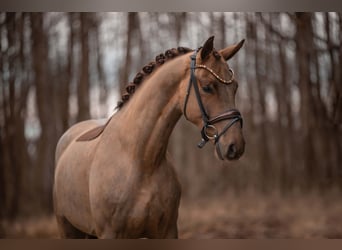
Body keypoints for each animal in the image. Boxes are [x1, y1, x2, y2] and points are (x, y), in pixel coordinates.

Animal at [52, 36, 246, 238]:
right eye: (207, 87)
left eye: (235, 87)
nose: (235, 146)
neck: (141, 160)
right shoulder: (110, 233)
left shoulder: (168, 231)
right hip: (67, 228)